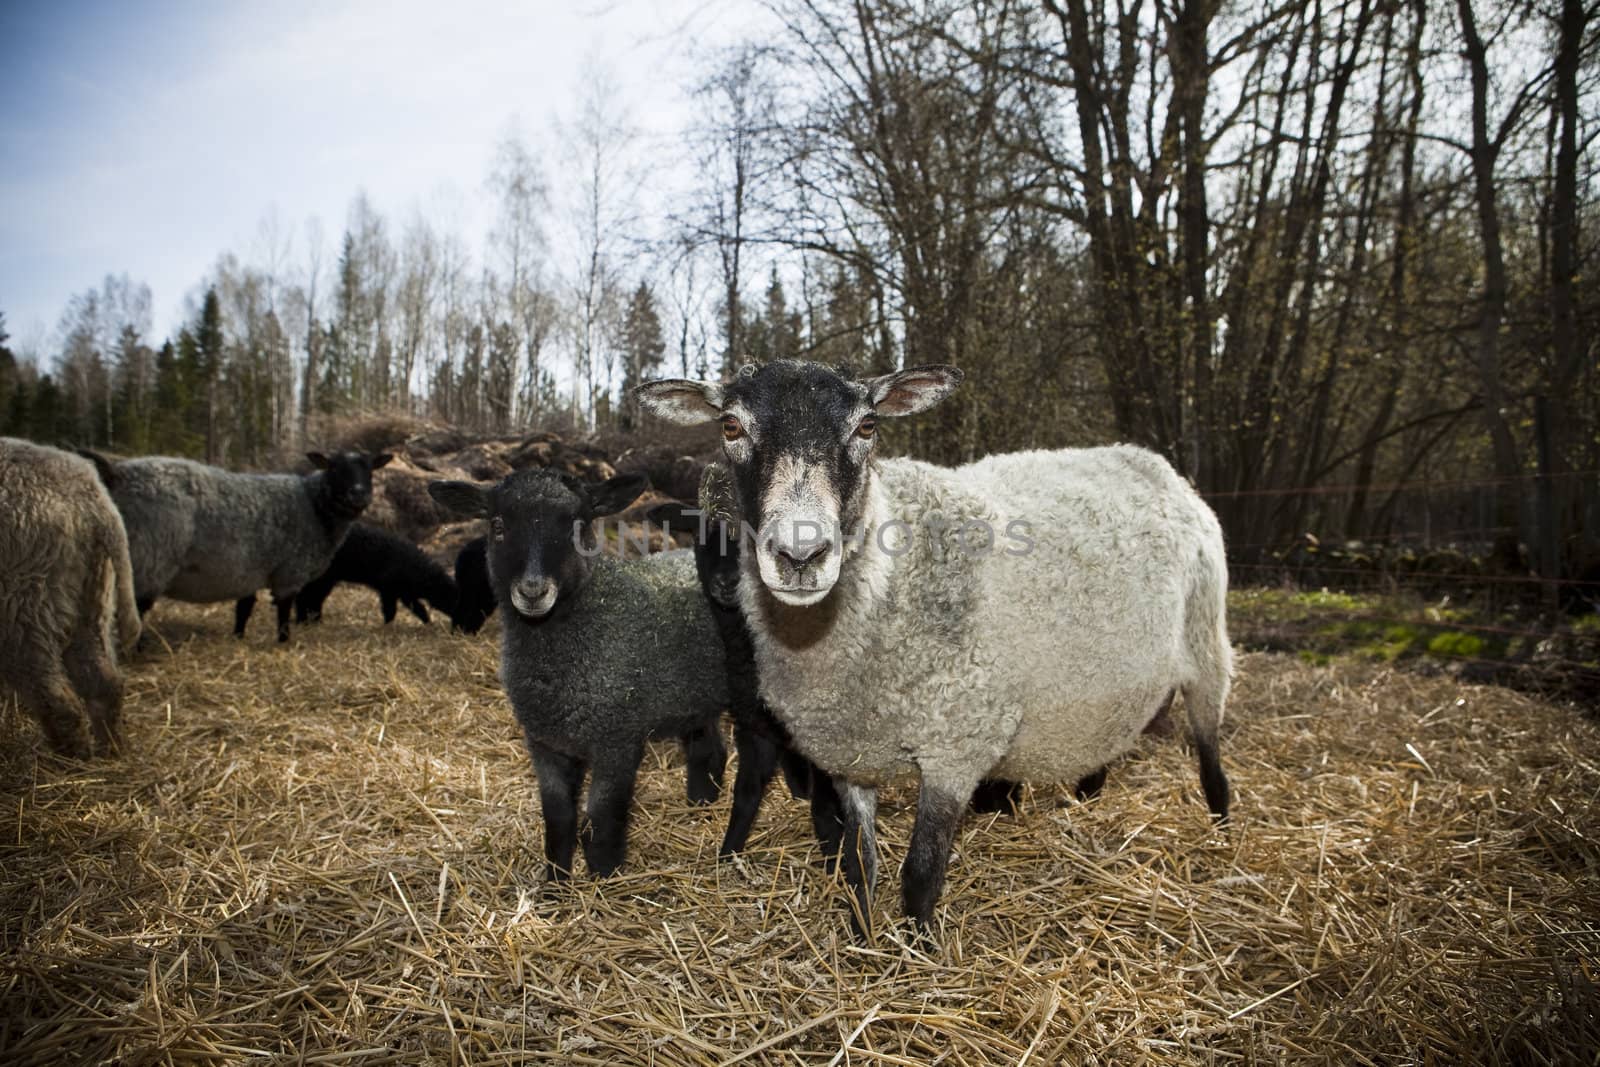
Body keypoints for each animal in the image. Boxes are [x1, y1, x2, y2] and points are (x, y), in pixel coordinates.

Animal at [1, 435, 141, 758]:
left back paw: (69, 756)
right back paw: (108, 749)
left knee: (55, 696)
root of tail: (93, 502)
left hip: (25, 604)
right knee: (104, 683)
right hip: (90, 599)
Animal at [82, 451, 392, 643]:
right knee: (133, 609)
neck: (313, 504)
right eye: (334, 468)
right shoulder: (289, 572)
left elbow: (244, 609)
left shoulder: (250, 572)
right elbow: (284, 611)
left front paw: (239, 636)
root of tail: (117, 473)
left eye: (369, 470)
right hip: (150, 558)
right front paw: (284, 641)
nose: (359, 495)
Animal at [425, 470, 726, 883]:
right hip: (694, 698)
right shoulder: (545, 742)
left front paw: (604, 878)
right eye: (498, 525)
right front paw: (555, 883)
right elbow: (558, 818)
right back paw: (700, 807)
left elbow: (600, 818)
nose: (533, 590)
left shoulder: (618, 739)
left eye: (577, 526)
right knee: (708, 750)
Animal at [630, 363, 1228, 940]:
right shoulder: (848, 752)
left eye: (868, 426)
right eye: (730, 426)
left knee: (1211, 761)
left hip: (1207, 646)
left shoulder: (957, 746)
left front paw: (917, 951)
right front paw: (863, 941)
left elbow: (921, 873)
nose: (801, 555)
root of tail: (1151, 461)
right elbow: (858, 865)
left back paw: (1221, 832)